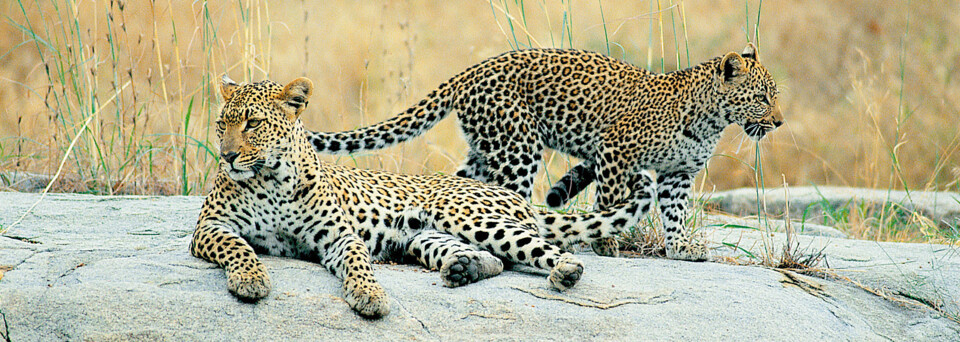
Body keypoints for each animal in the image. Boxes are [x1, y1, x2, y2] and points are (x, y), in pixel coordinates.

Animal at [189, 76, 652, 316]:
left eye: (252, 124)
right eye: (222, 123)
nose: (227, 156)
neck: (273, 179)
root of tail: (512, 195)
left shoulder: (339, 236)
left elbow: (357, 263)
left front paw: (370, 295)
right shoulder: (210, 227)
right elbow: (239, 248)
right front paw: (250, 279)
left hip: (469, 216)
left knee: (546, 250)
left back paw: (565, 272)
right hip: (426, 237)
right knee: (496, 259)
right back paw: (463, 269)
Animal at [308, 44, 780, 260]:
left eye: (773, 98)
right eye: (761, 98)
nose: (778, 123)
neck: (712, 118)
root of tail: (469, 72)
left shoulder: (678, 174)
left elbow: (677, 213)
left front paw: (681, 248)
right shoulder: (615, 152)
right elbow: (609, 199)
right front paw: (607, 243)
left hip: (488, 149)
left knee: (462, 186)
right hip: (518, 147)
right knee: (516, 202)